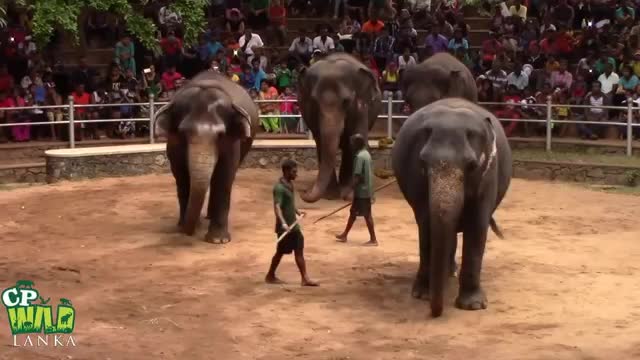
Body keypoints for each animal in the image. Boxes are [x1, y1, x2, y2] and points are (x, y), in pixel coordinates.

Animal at [154, 71, 256, 243]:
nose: (188, 231)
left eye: (220, 134)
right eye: (183, 133)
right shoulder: (174, 143)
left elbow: (224, 175)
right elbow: (181, 176)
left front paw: (218, 240)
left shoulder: (232, 141)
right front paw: (184, 227)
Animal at [298, 52, 382, 202]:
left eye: (346, 101)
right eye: (314, 101)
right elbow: (321, 141)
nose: (304, 192)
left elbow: (357, 136)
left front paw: (350, 196)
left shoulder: (362, 105)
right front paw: (330, 196)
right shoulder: (309, 111)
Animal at [390, 98, 516, 318]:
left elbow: (477, 226)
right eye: (423, 163)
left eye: (472, 165)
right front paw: (422, 295)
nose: (435, 312)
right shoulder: (415, 177)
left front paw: (473, 305)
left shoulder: (488, 174)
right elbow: (426, 225)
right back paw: (448, 273)